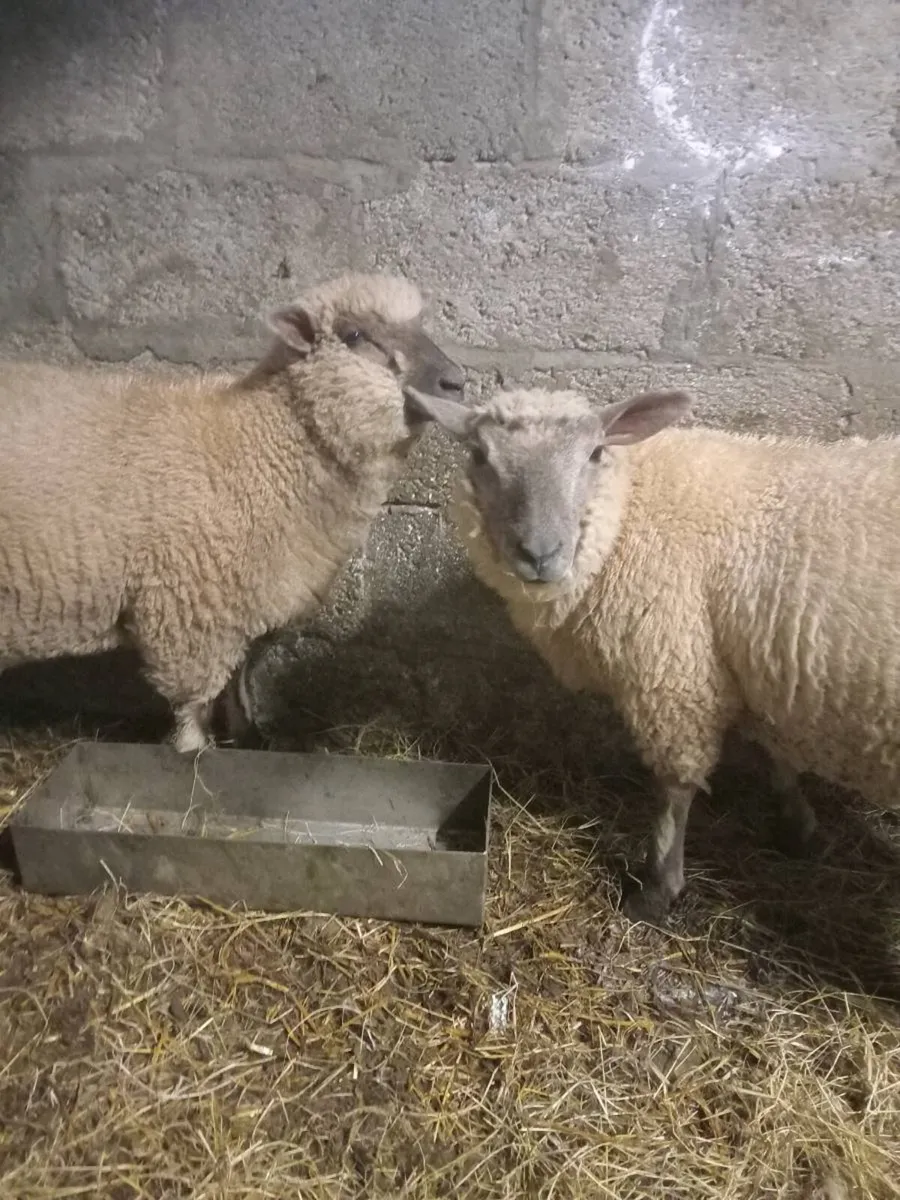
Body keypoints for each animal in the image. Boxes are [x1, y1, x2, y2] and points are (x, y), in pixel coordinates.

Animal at [0, 273, 467, 754]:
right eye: (354, 335)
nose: (457, 382)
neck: (260, 445)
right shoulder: (189, 613)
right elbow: (195, 703)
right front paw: (193, 751)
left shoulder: (245, 602)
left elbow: (238, 684)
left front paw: (248, 737)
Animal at [404, 383, 900, 924]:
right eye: (479, 455)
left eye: (595, 453)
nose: (540, 555)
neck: (627, 512)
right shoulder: (754, 663)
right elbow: (775, 749)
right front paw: (798, 825)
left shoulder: (674, 672)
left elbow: (675, 787)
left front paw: (658, 886)